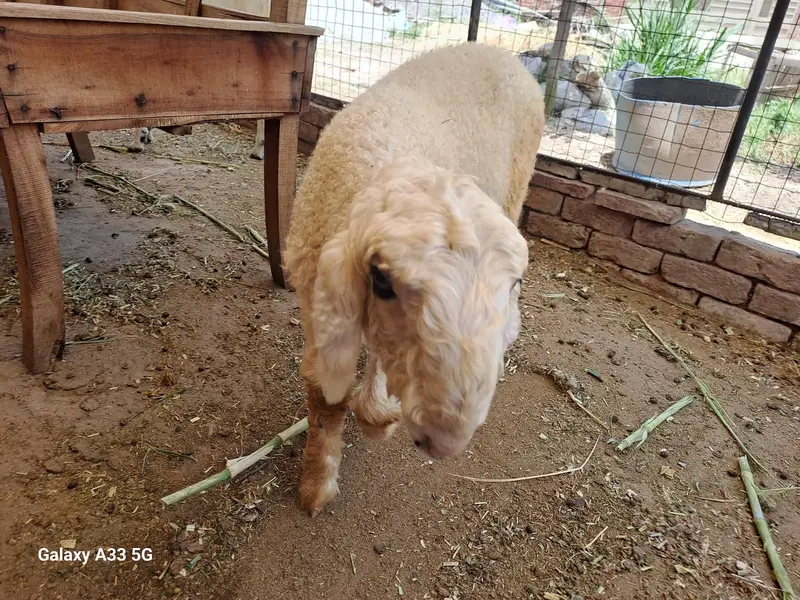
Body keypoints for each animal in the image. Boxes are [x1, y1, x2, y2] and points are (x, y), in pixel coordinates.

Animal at [283, 42, 545, 516]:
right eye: (382, 282)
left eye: (515, 284)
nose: (447, 440)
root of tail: (502, 51)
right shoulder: (314, 299)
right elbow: (324, 392)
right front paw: (317, 480)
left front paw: (378, 419)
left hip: (517, 188)